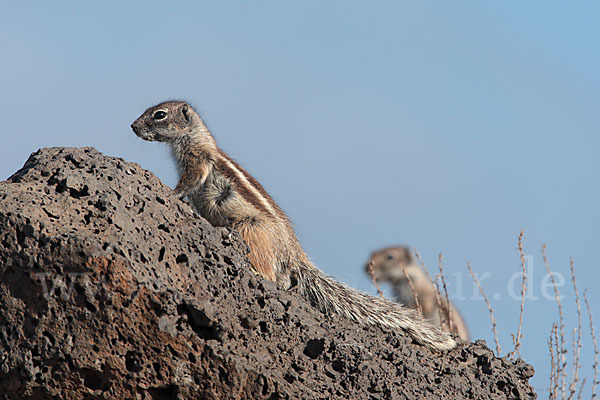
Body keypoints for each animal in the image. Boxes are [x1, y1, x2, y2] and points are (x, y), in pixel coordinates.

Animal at [134, 100, 458, 350]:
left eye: (159, 114)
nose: (132, 127)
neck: (194, 137)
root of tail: (293, 252)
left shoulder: (197, 162)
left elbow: (188, 182)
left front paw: (172, 193)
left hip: (252, 230)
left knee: (270, 274)